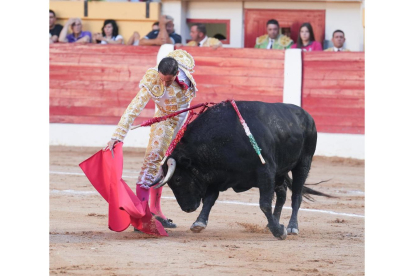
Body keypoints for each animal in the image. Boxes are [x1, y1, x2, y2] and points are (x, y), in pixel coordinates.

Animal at [154, 101, 328, 239]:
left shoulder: (265, 171)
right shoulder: (218, 174)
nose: (187, 208)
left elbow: (264, 203)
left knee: (296, 195)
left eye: (178, 179)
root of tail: (307, 116)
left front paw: (279, 232)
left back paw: (292, 227)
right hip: (280, 171)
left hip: (303, 162)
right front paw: (199, 222)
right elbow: (209, 199)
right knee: (282, 193)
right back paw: (273, 223)